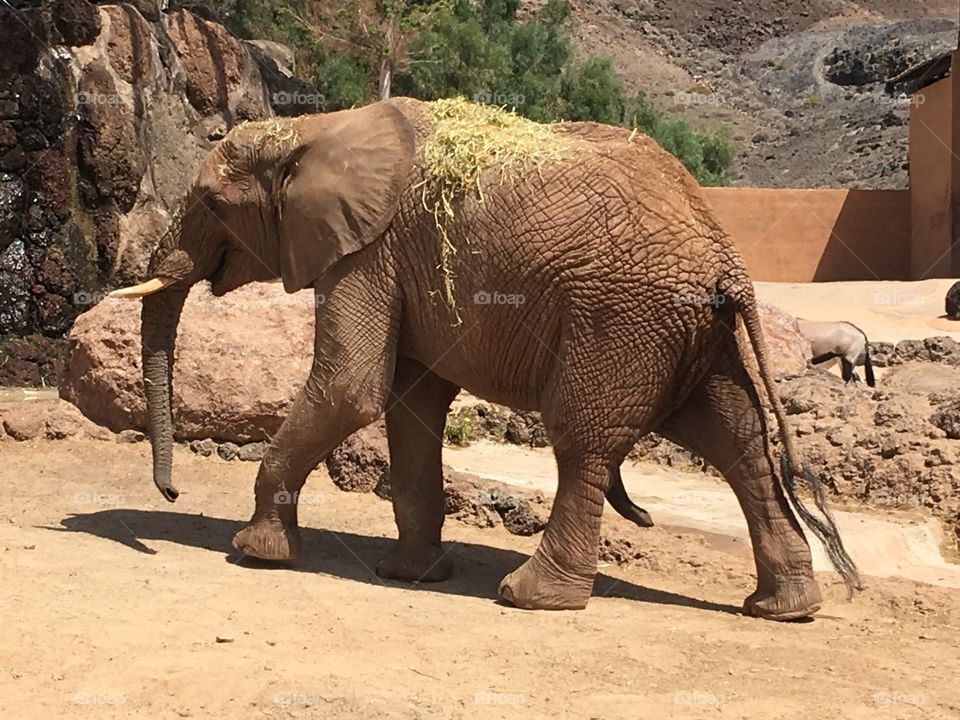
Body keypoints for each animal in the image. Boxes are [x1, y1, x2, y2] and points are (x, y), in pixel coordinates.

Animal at [111, 97, 860, 618]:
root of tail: (728, 259)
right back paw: (784, 609)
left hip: (621, 318)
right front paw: (408, 575)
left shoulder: (369, 252)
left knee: (584, 441)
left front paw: (253, 554)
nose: (170, 492)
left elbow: (351, 387)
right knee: (739, 445)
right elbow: (409, 403)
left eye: (213, 204)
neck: (313, 127)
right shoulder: (401, 266)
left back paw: (531, 597)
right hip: (694, 333)